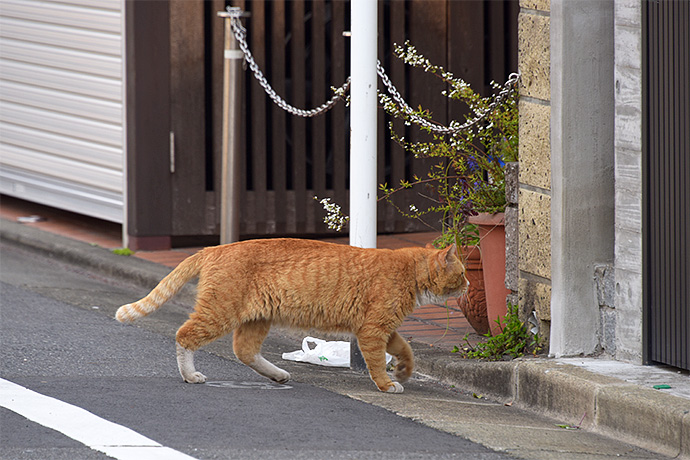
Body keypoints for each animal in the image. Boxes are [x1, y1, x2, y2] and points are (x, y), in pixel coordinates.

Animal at [115, 237, 464, 392]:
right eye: (461, 274)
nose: (470, 284)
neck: (409, 271)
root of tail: (216, 247)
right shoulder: (373, 330)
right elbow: (378, 361)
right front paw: (387, 384)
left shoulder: (384, 329)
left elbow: (405, 349)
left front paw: (403, 370)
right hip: (220, 312)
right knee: (184, 335)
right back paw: (190, 375)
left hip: (256, 319)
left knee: (244, 350)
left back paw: (278, 375)